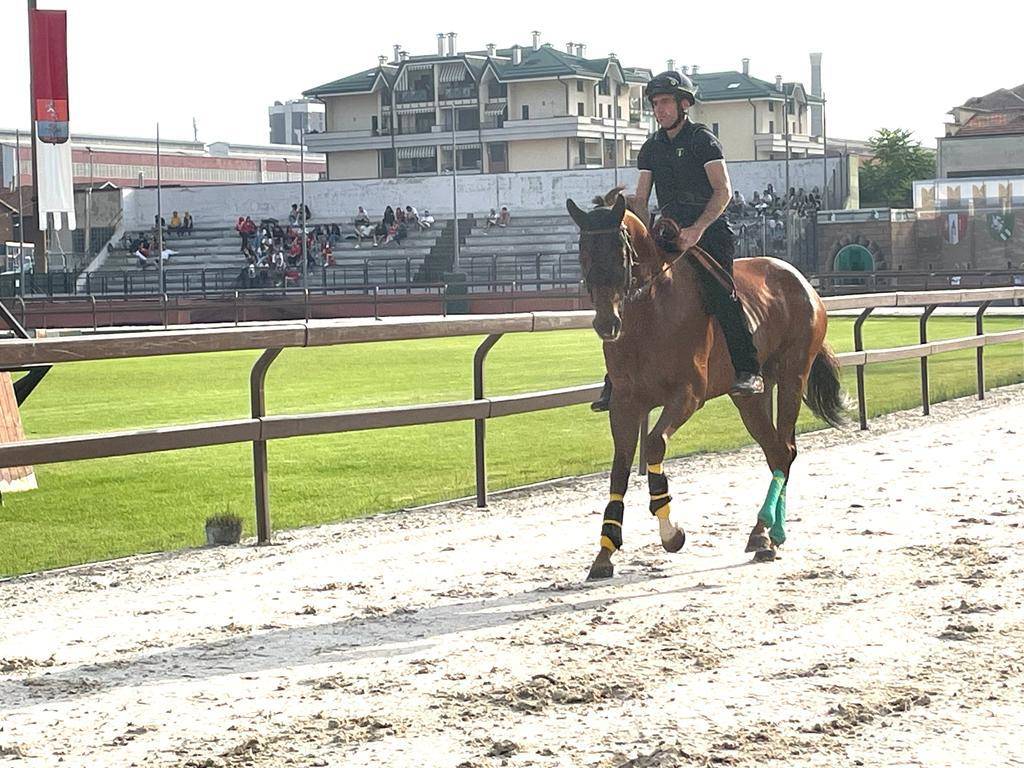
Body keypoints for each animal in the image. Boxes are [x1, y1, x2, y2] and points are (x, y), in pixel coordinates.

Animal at [565, 189, 843, 581]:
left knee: (786, 451)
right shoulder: (625, 403)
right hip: (750, 398)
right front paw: (605, 553)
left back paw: (771, 533)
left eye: (621, 254)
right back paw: (763, 534)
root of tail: (802, 281)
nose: (607, 324)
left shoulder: (687, 394)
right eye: (583, 252)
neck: (649, 312)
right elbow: (619, 468)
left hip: (793, 377)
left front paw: (671, 532)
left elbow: (654, 444)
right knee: (775, 450)